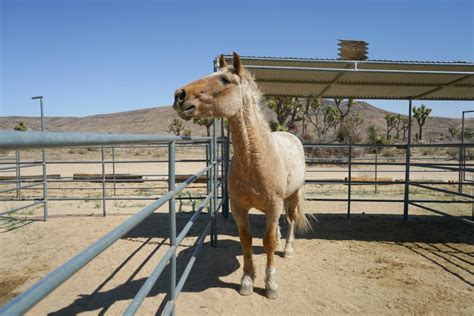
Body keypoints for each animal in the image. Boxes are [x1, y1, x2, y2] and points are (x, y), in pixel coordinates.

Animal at [173, 51, 312, 298]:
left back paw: (287, 248)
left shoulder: (274, 205)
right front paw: (247, 280)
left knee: (291, 220)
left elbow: (268, 242)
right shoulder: (239, 207)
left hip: (293, 195)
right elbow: (246, 241)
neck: (255, 160)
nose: (179, 95)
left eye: (225, 80)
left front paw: (270, 285)